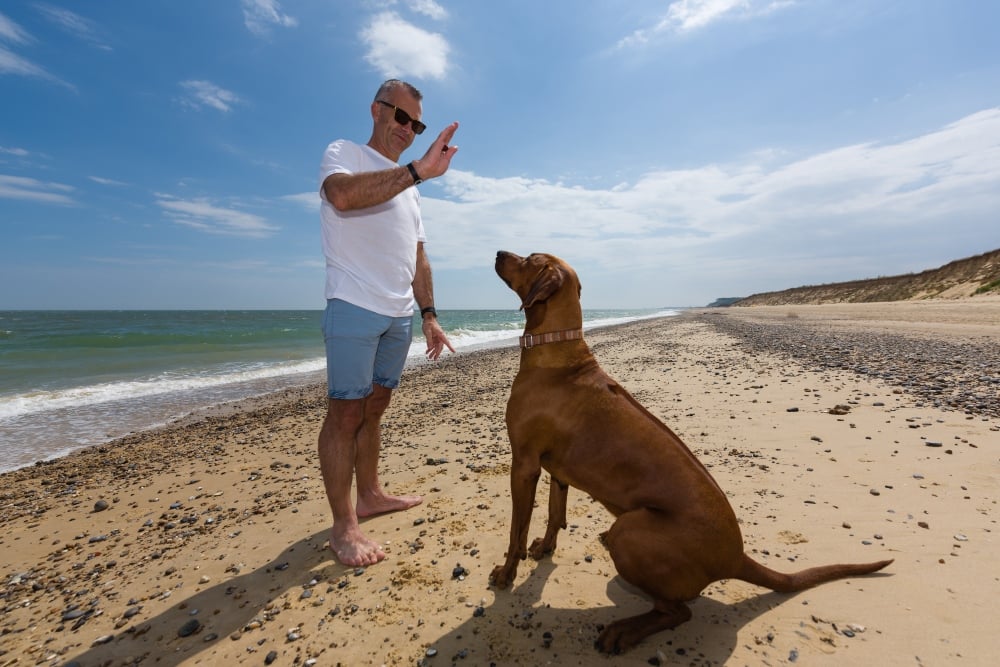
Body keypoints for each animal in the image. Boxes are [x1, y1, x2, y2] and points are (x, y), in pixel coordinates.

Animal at [490, 250, 892, 652]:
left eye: (530, 258)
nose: (498, 253)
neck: (557, 349)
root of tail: (735, 558)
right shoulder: (556, 468)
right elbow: (554, 515)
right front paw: (543, 548)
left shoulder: (524, 464)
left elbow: (516, 530)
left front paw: (507, 573)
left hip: (631, 531)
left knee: (678, 611)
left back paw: (625, 630)